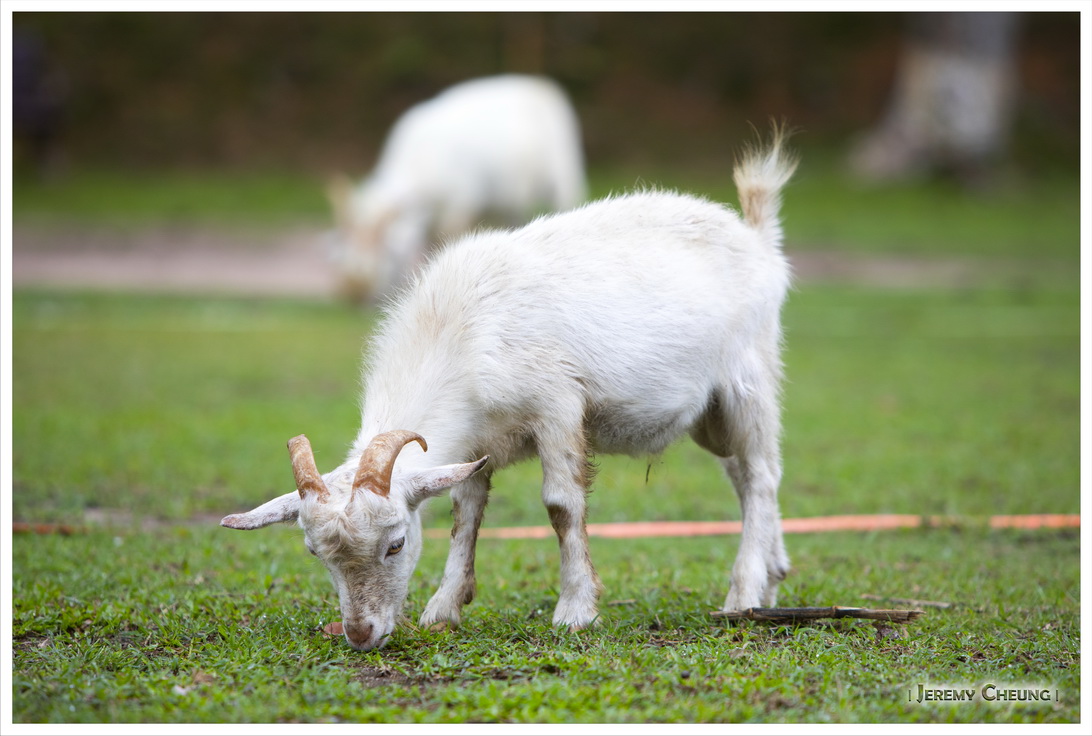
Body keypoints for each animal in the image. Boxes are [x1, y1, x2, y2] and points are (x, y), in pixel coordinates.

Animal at [222, 125, 797, 652]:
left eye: (396, 544)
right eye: (316, 554)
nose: (362, 635)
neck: (458, 331)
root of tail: (757, 237)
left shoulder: (557, 405)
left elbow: (561, 506)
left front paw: (576, 610)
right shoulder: (474, 443)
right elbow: (465, 513)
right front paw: (444, 607)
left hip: (748, 382)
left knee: (762, 476)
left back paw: (743, 592)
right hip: (710, 418)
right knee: (747, 476)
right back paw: (772, 577)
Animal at [327, 74, 586, 303]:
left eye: (386, 253)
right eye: (343, 247)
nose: (355, 292)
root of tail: (541, 84)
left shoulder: (461, 202)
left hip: (564, 172)